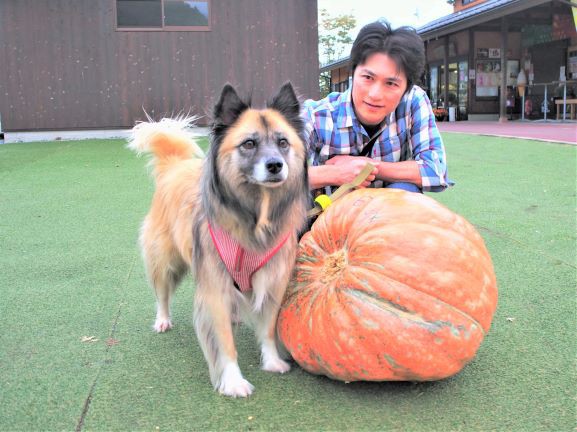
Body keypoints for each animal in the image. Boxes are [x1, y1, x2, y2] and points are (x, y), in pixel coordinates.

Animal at [127, 82, 308, 396]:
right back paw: (162, 320)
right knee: (162, 292)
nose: (275, 165)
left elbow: (268, 328)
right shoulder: (214, 288)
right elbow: (223, 341)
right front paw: (233, 381)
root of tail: (174, 166)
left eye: (283, 142)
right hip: (165, 260)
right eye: (249, 143)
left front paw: (272, 362)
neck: (254, 216)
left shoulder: (273, 282)